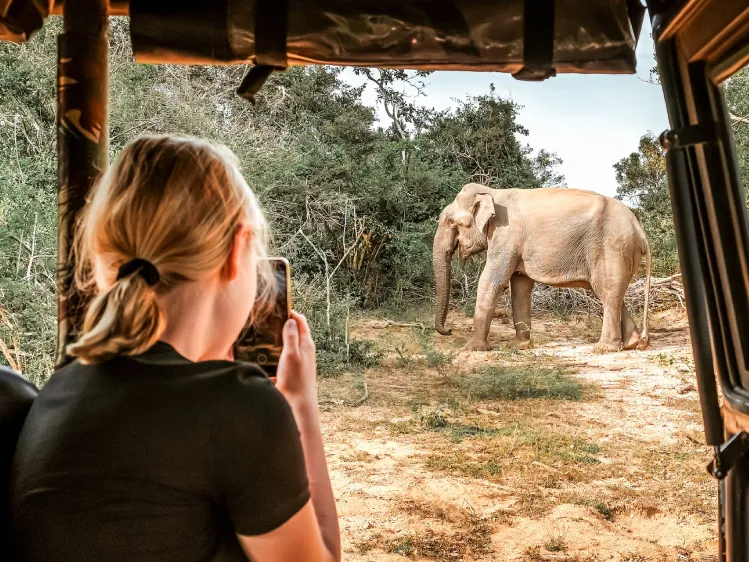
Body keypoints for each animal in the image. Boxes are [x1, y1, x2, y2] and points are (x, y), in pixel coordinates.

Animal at [433, 183, 652, 352]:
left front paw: (471, 348)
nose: (449, 330)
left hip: (612, 249)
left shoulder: (506, 235)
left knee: (607, 292)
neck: (493, 192)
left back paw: (604, 348)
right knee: (610, 293)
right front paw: (519, 346)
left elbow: (492, 281)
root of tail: (639, 229)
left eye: (451, 221)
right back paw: (632, 343)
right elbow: (520, 285)